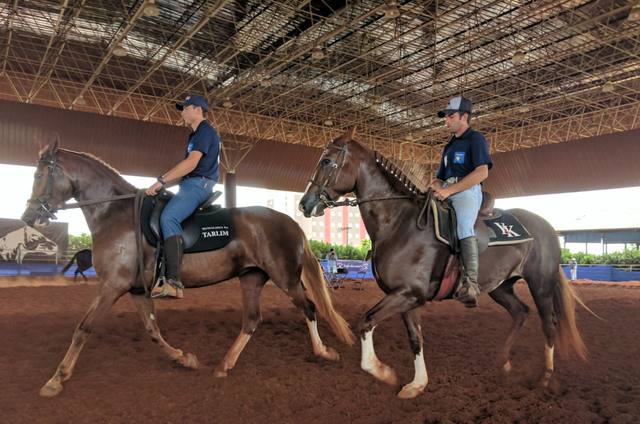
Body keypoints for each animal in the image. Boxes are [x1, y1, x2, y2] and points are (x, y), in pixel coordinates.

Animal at [21, 142, 356, 398]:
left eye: (40, 174)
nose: (28, 216)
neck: (116, 214)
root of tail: (292, 224)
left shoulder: (112, 286)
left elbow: (83, 328)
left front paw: (56, 380)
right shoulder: (136, 290)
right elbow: (152, 330)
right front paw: (185, 358)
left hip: (285, 278)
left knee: (309, 308)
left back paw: (323, 352)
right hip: (251, 278)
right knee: (251, 320)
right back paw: (223, 365)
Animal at [300, 128, 592, 398]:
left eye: (326, 161)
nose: (305, 203)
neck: (399, 223)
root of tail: (546, 227)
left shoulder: (408, 294)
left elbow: (366, 321)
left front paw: (383, 371)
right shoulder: (406, 297)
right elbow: (415, 338)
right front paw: (417, 384)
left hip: (540, 285)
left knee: (548, 324)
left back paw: (545, 378)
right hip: (501, 287)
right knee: (520, 312)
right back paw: (504, 363)